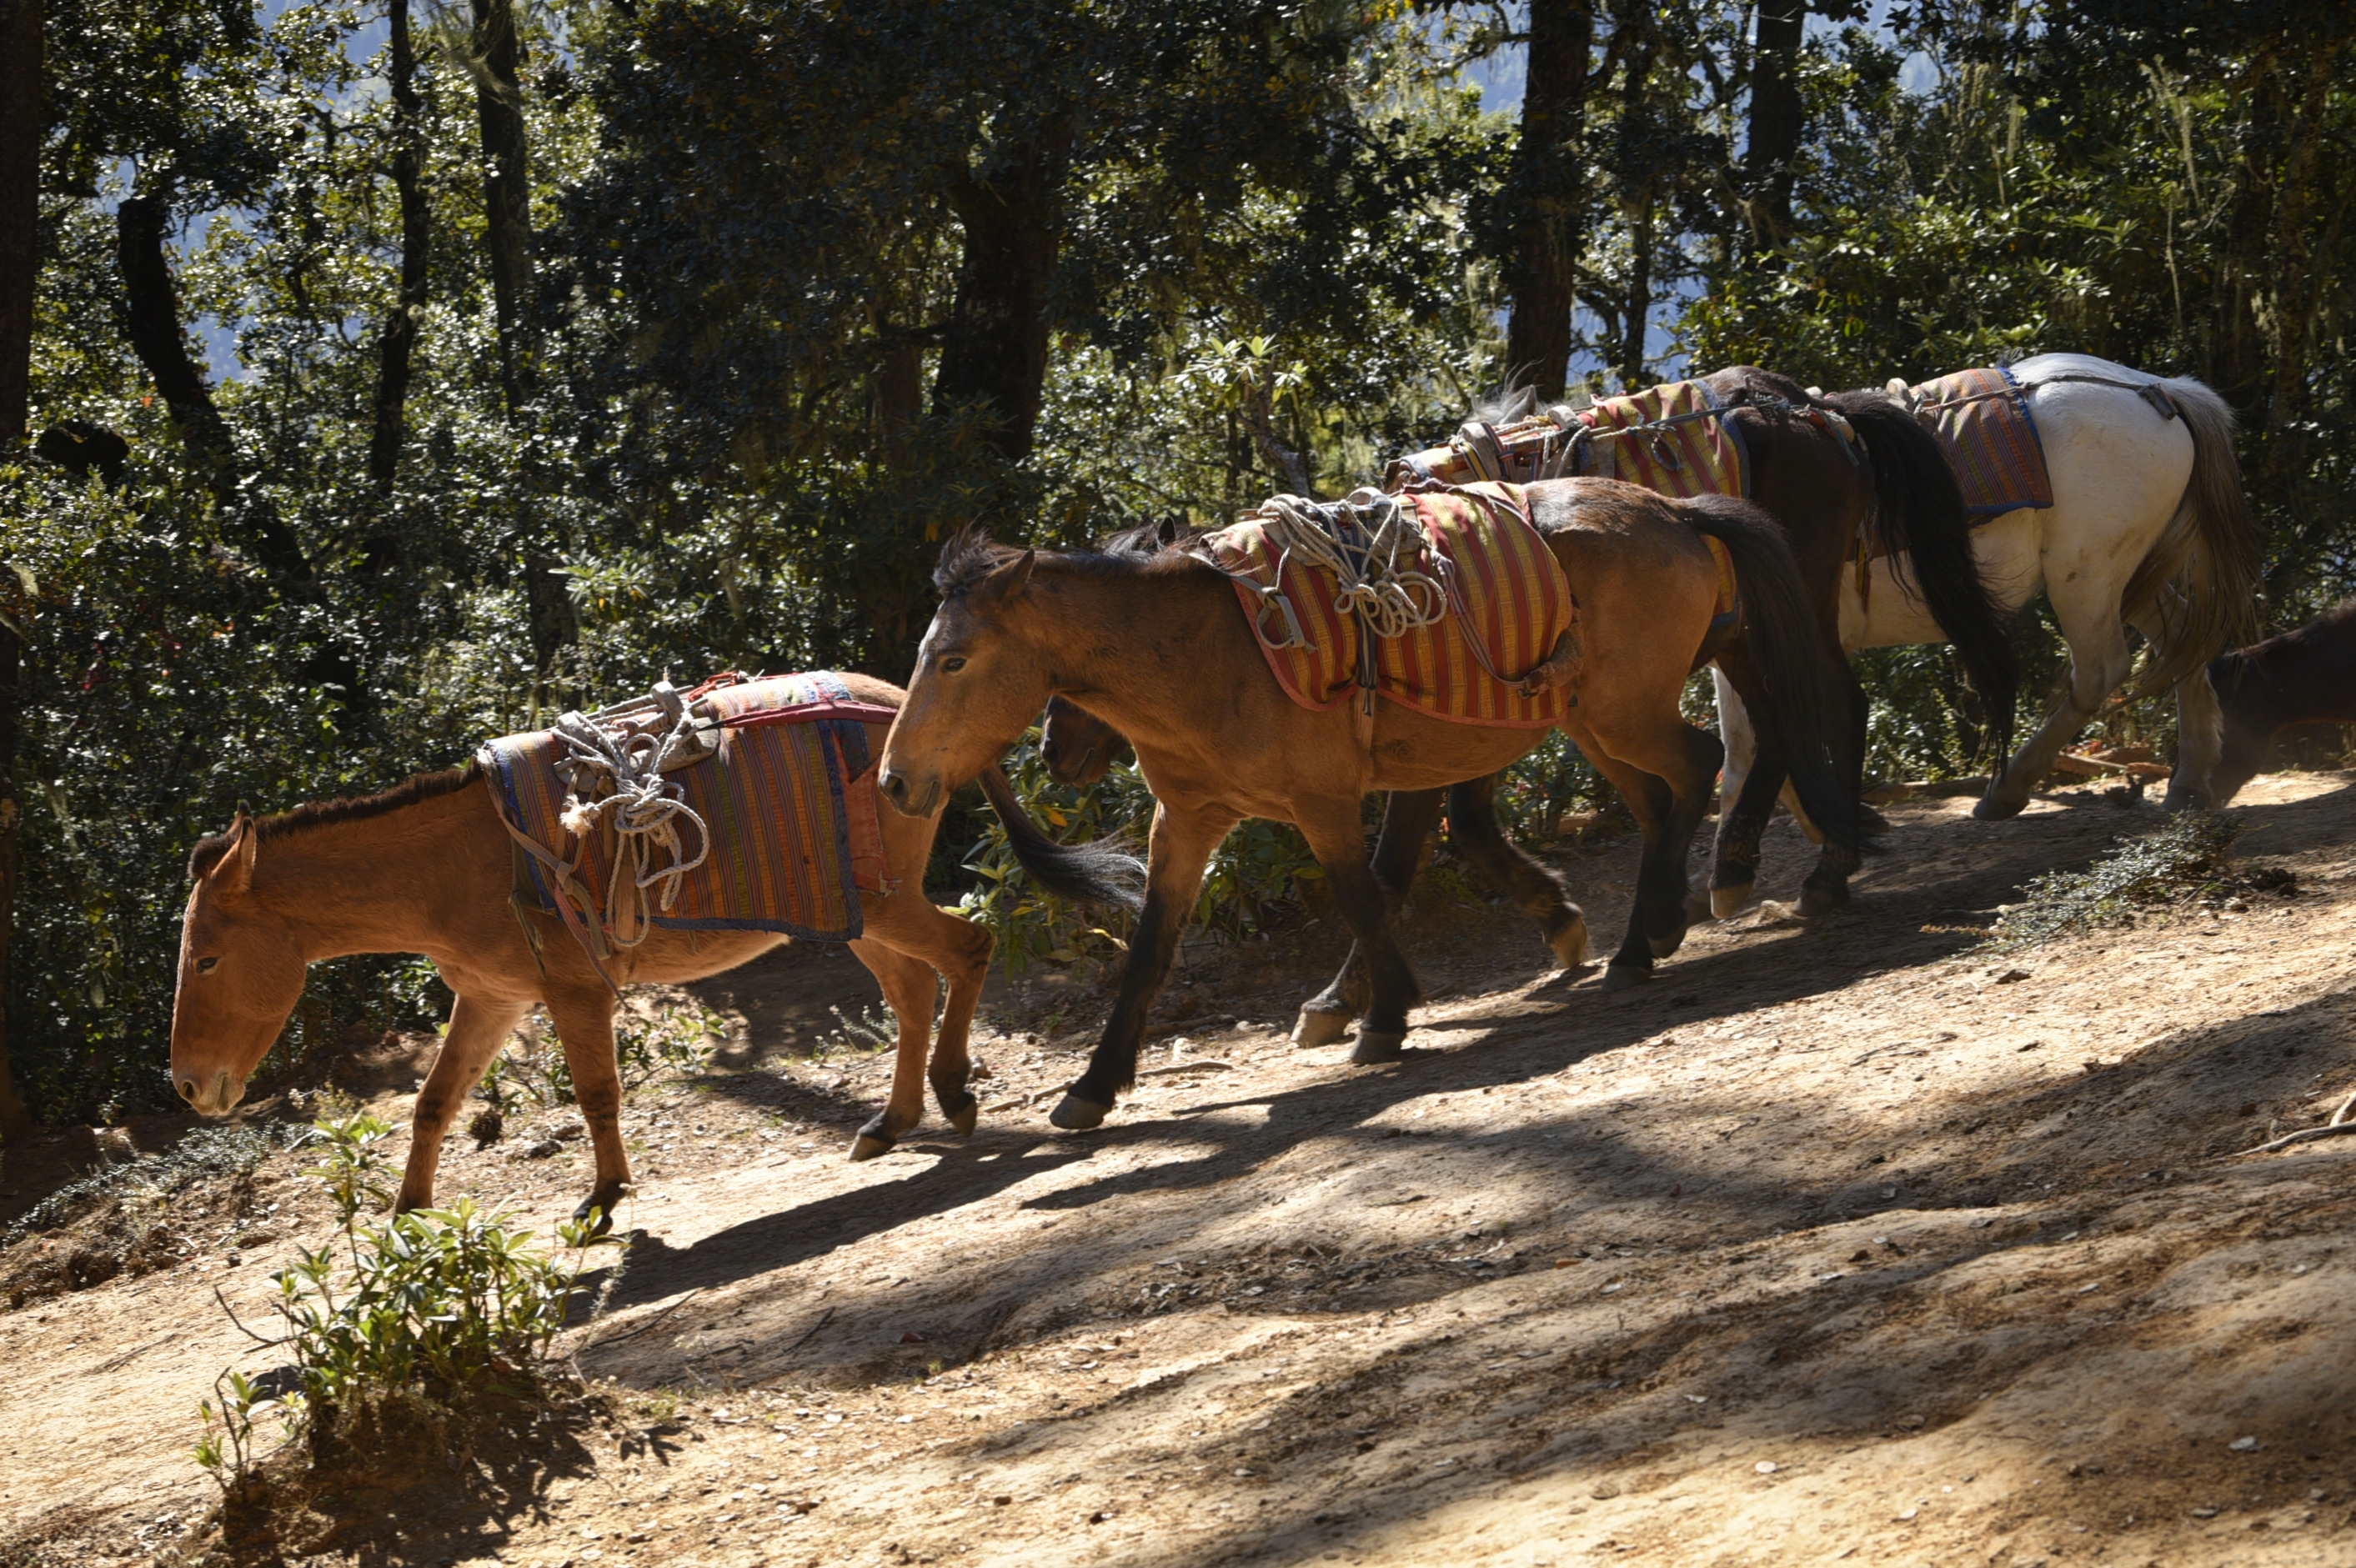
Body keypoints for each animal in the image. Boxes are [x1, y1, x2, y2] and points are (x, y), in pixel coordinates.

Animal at [168, 672, 1140, 1224]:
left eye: (206, 958)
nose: (186, 1088)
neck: (460, 864)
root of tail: (901, 705)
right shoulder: (491, 998)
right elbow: (434, 1104)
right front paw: (408, 1215)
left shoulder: (572, 991)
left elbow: (596, 1093)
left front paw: (602, 1200)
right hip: (851, 913)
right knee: (911, 990)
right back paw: (891, 1123)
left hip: (886, 901)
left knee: (968, 949)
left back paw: (954, 1095)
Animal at [876, 478, 1857, 1132]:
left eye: (953, 659)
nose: (893, 780)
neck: (1208, 649)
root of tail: (1672, 510)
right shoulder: (1187, 820)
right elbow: (1152, 948)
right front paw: (1094, 1084)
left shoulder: (1325, 802)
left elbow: (1365, 893)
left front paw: (1383, 1014)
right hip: (1594, 718)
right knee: (1665, 798)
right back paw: (1650, 931)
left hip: (1623, 711)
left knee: (1698, 769)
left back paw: (1658, 931)